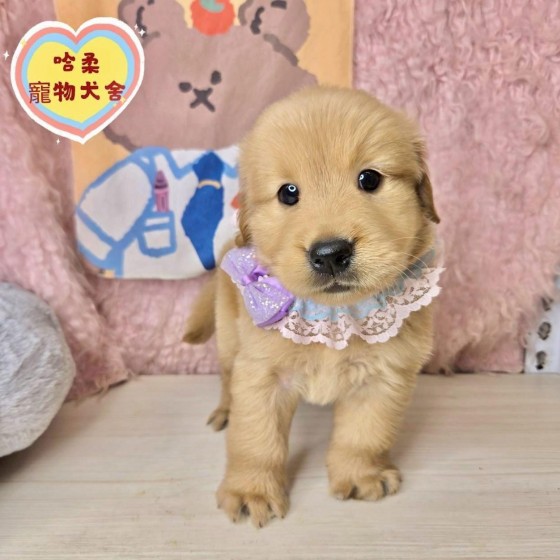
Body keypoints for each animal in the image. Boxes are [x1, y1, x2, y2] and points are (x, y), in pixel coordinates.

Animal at [184, 86, 441, 528]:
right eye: (288, 193)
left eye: (369, 179)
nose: (331, 253)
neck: (333, 315)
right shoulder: (261, 374)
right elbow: (256, 438)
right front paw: (252, 490)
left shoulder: (383, 375)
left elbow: (364, 433)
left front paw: (360, 475)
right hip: (230, 338)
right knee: (226, 376)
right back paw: (225, 409)